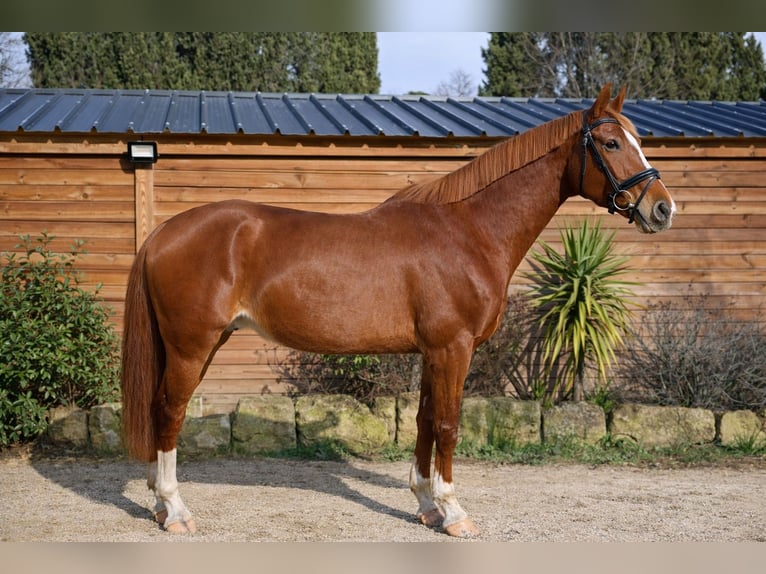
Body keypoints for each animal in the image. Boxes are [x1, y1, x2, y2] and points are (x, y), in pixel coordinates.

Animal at [120, 84, 675, 537]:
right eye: (611, 144)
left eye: (637, 140)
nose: (663, 209)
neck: (468, 231)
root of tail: (162, 233)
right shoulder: (453, 349)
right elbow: (448, 425)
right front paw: (455, 514)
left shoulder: (433, 352)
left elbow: (425, 421)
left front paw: (428, 507)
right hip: (192, 346)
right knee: (169, 411)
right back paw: (176, 511)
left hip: (204, 344)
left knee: (161, 412)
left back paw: (158, 504)